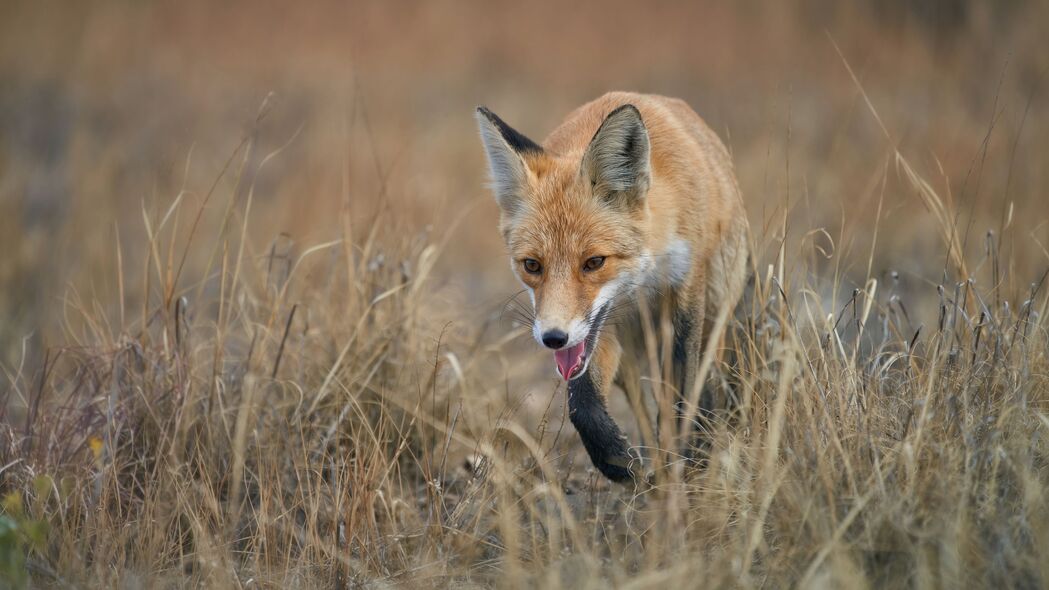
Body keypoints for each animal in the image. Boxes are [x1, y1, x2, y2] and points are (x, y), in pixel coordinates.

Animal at [476, 90, 746, 478]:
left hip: (717, 307)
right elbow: (583, 403)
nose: (553, 338)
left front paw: (683, 461)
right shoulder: (598, 331)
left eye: (594, 263)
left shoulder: (686, 294)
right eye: (532, 265)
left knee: (705, 380)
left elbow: (680, 394)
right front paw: (619, 460)